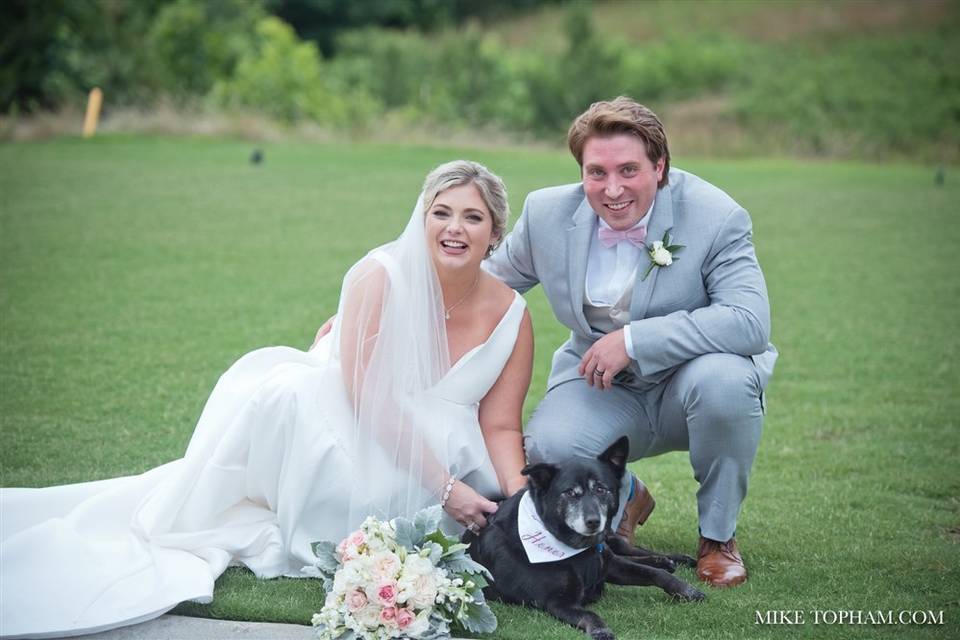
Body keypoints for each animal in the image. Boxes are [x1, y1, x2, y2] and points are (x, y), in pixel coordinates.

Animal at [464, 438, 704, 636]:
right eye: (570, 492)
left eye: (601, 489)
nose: (593, 522)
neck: (572, 549)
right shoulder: (557, 602)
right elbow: (590, 614)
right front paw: (600, 630)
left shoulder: (609, 565)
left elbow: (655, 574)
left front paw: (686, 589)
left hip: (610, 544)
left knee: (629, 550)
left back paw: (671, 559)